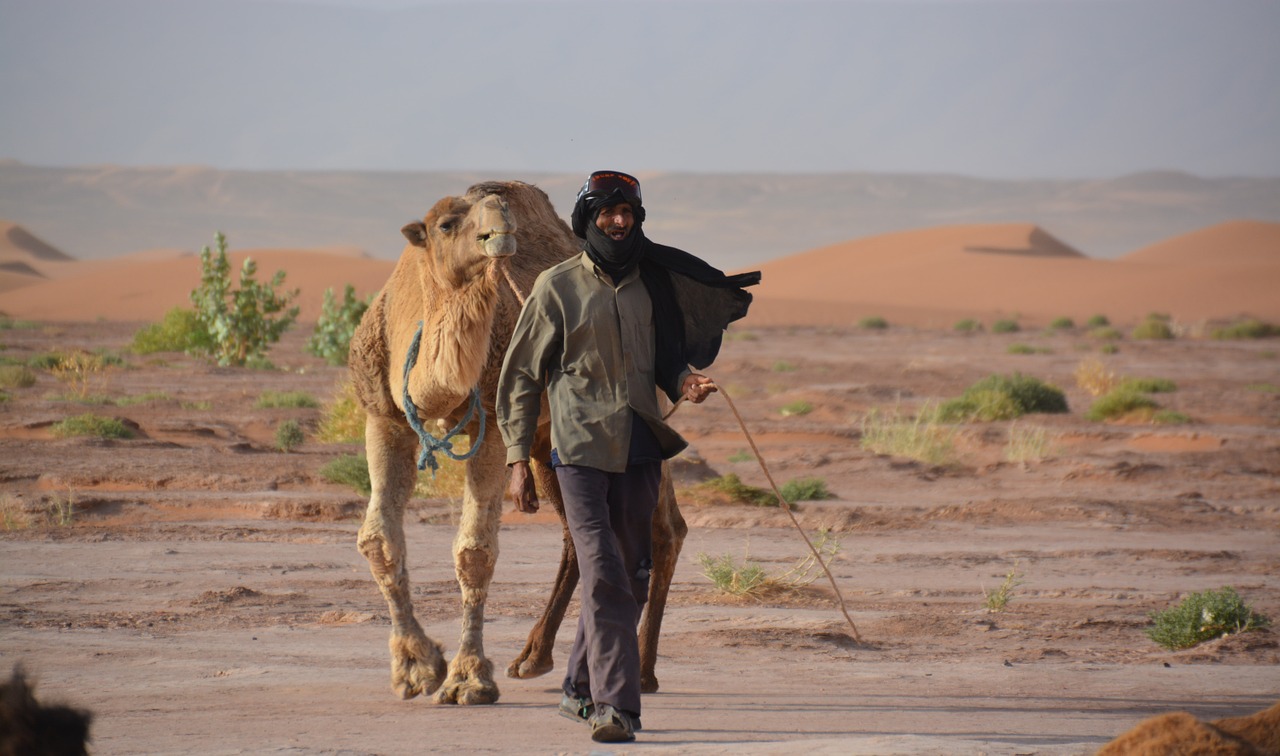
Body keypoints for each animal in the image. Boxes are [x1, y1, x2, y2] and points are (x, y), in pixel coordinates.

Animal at [350, 181, 686, 706]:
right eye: (446, 224)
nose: (500, 223)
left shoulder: (491, 421)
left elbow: (475, 550)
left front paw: (468, 677)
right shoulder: (384, 416)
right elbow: (378, 540)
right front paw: (415, 667)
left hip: (642, 419)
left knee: (666, 527)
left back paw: (644, 671)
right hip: (548, 441)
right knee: (578, 532)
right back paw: (534, 658)